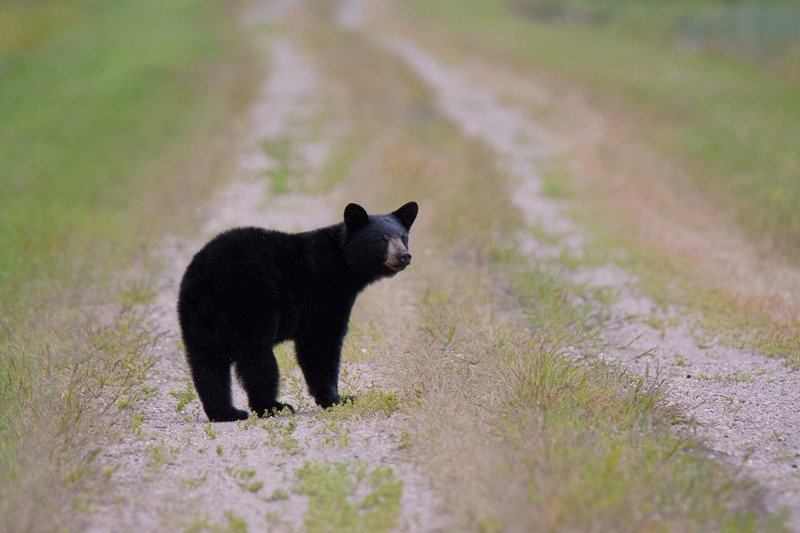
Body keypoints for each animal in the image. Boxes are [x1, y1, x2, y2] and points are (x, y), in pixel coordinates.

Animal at [177, 202, 418, 422]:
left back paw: (225, 412)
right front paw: (337, 399)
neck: (341, 263)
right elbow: (320, 344)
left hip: (198, 316)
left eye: (403, 236)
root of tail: (207, 276)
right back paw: (272, 406)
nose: (404, 255)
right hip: (251, 303)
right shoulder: (323, 295)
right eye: (382, 239)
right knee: (256, 357)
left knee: (207, 362)